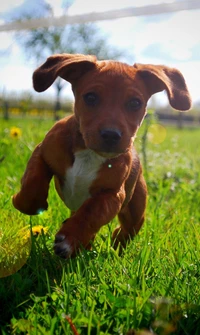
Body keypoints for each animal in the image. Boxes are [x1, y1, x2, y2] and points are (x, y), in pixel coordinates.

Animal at [12, 53, 191, 258]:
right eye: (90, 97)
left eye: (135, 103)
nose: (111, 134)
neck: (89, 153)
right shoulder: (42, 152)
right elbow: (32, 184)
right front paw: (22, 201)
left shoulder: (112, 194)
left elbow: (92, 211)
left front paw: (70, 239)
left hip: (135, 209)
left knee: (127, 229)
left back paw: (113, 244)